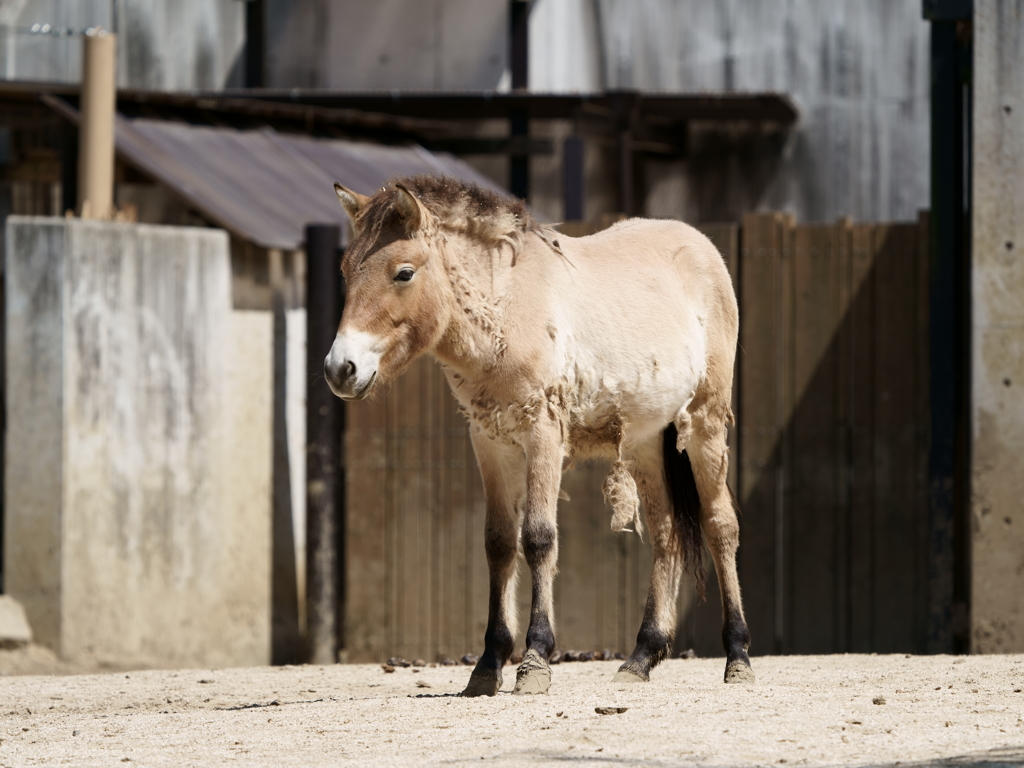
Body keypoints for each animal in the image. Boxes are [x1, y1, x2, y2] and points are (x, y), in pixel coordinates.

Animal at [323, 176, 757, 696]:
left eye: (403, 273)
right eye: (346, 270)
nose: (340, 369)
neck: (507, 308)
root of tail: (701, 246)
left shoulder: (543, 433)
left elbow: (538, 538)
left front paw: (534, 660)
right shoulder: (489, 442)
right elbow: (498, 542)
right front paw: (488, 664)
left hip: (704, 423)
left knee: (720, 526)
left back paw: (738, 657)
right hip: (645, 440)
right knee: (666, 533)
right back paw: (641, 657)